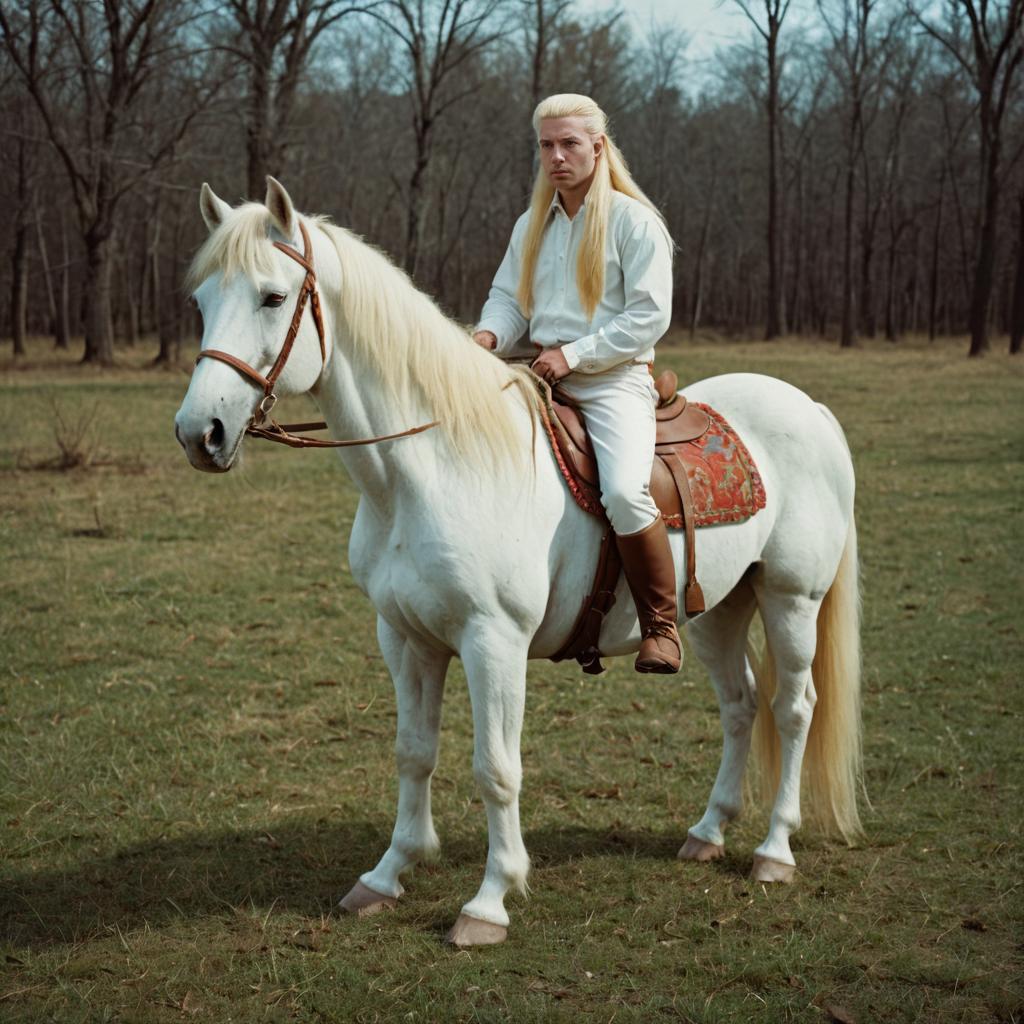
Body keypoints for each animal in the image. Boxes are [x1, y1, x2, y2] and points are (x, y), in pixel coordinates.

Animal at [176, 180, 864, 946]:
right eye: (202, 301)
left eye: (272, 297)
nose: (200, 433)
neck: (431, 465)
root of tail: (809, 407)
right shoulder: (406, 639)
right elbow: (413, 752)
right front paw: (387, 875)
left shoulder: (492, 641)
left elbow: (495, 769)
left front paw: (489, 901)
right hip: (716, 609)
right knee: (741, 705)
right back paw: (709, 832)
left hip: (790, 599)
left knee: (793, 709)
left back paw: (775, 850)